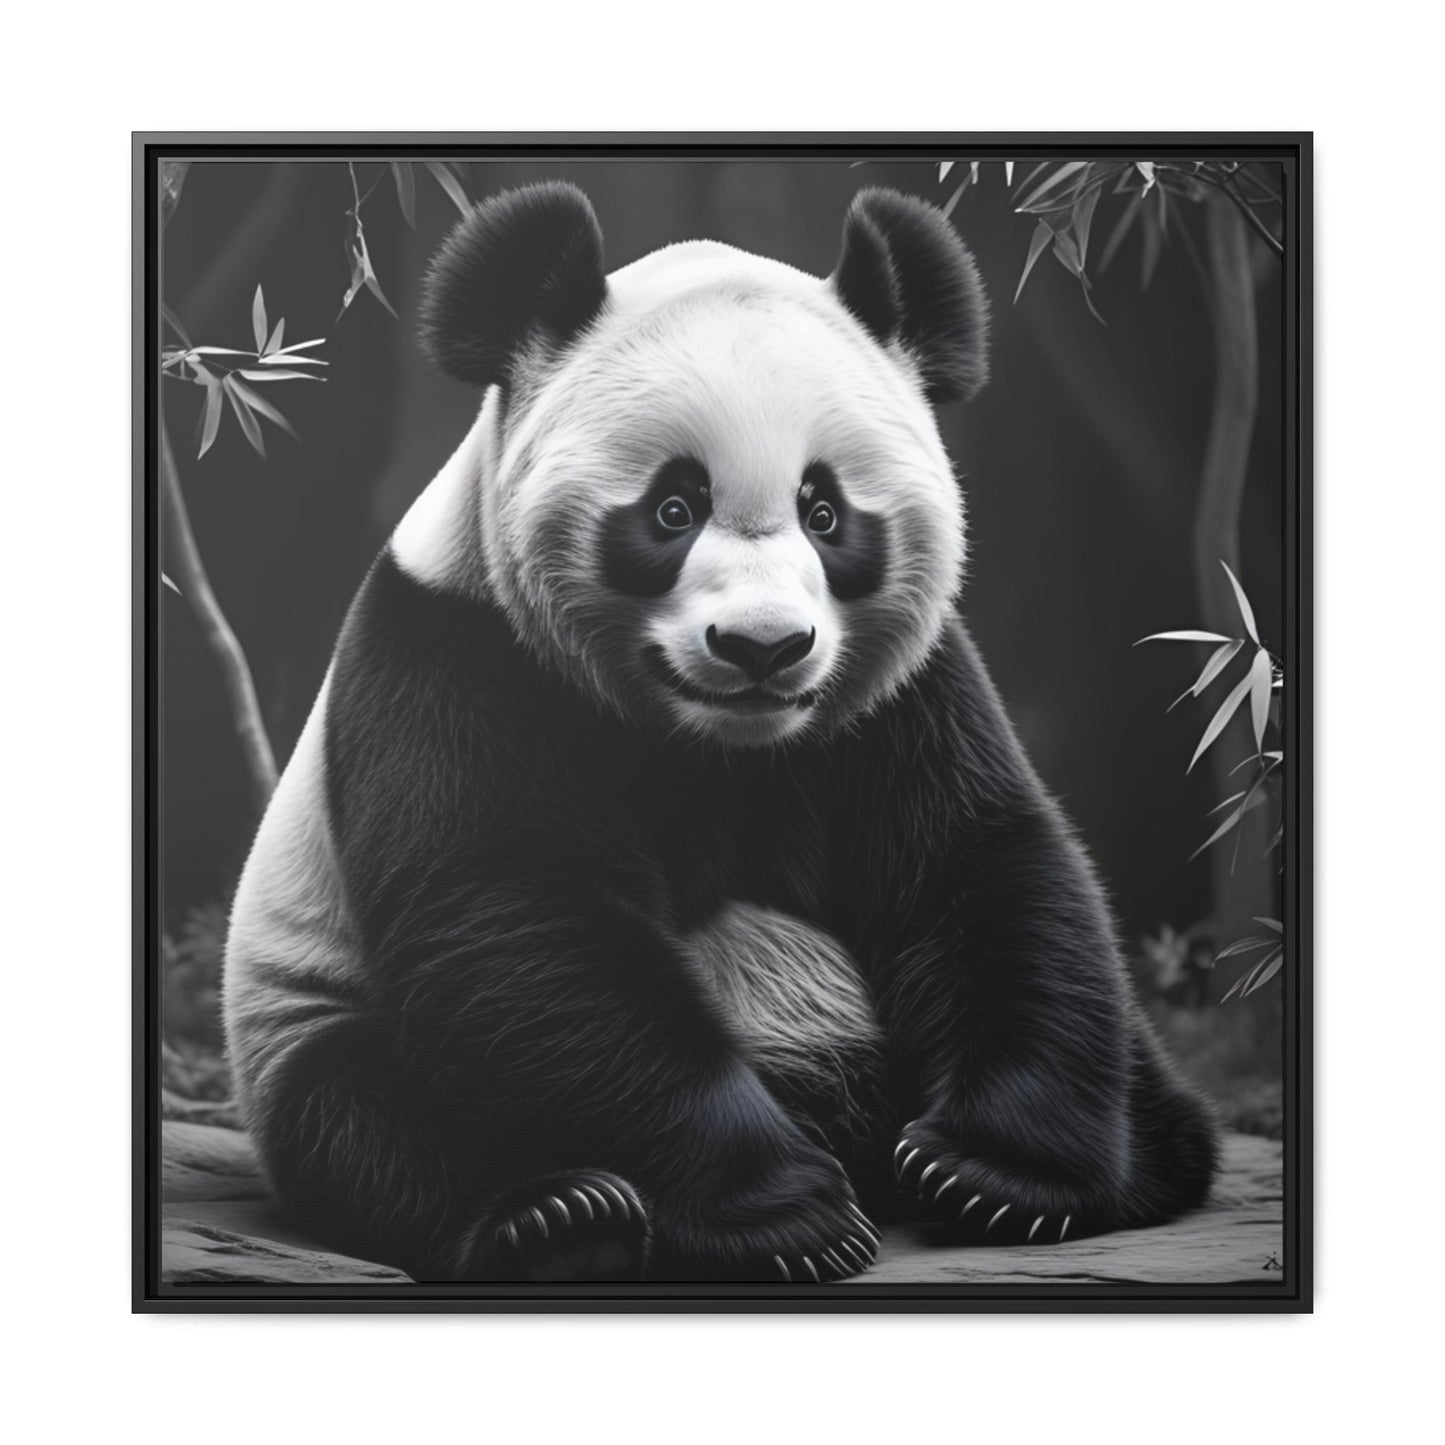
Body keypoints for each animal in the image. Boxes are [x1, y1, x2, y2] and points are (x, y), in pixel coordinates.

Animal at [223, 182, 1219, 1284]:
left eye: (824, 510)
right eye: (672, 507)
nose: (763, 646)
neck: (717, 746)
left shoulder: (902, 694)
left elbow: (976, 863)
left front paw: (992, 1174)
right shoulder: (458, 658)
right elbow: (518, 917)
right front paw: (786, 1216)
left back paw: (1145, 1154)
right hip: (304, 1015)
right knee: (369, 1119)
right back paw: (561, 1219)